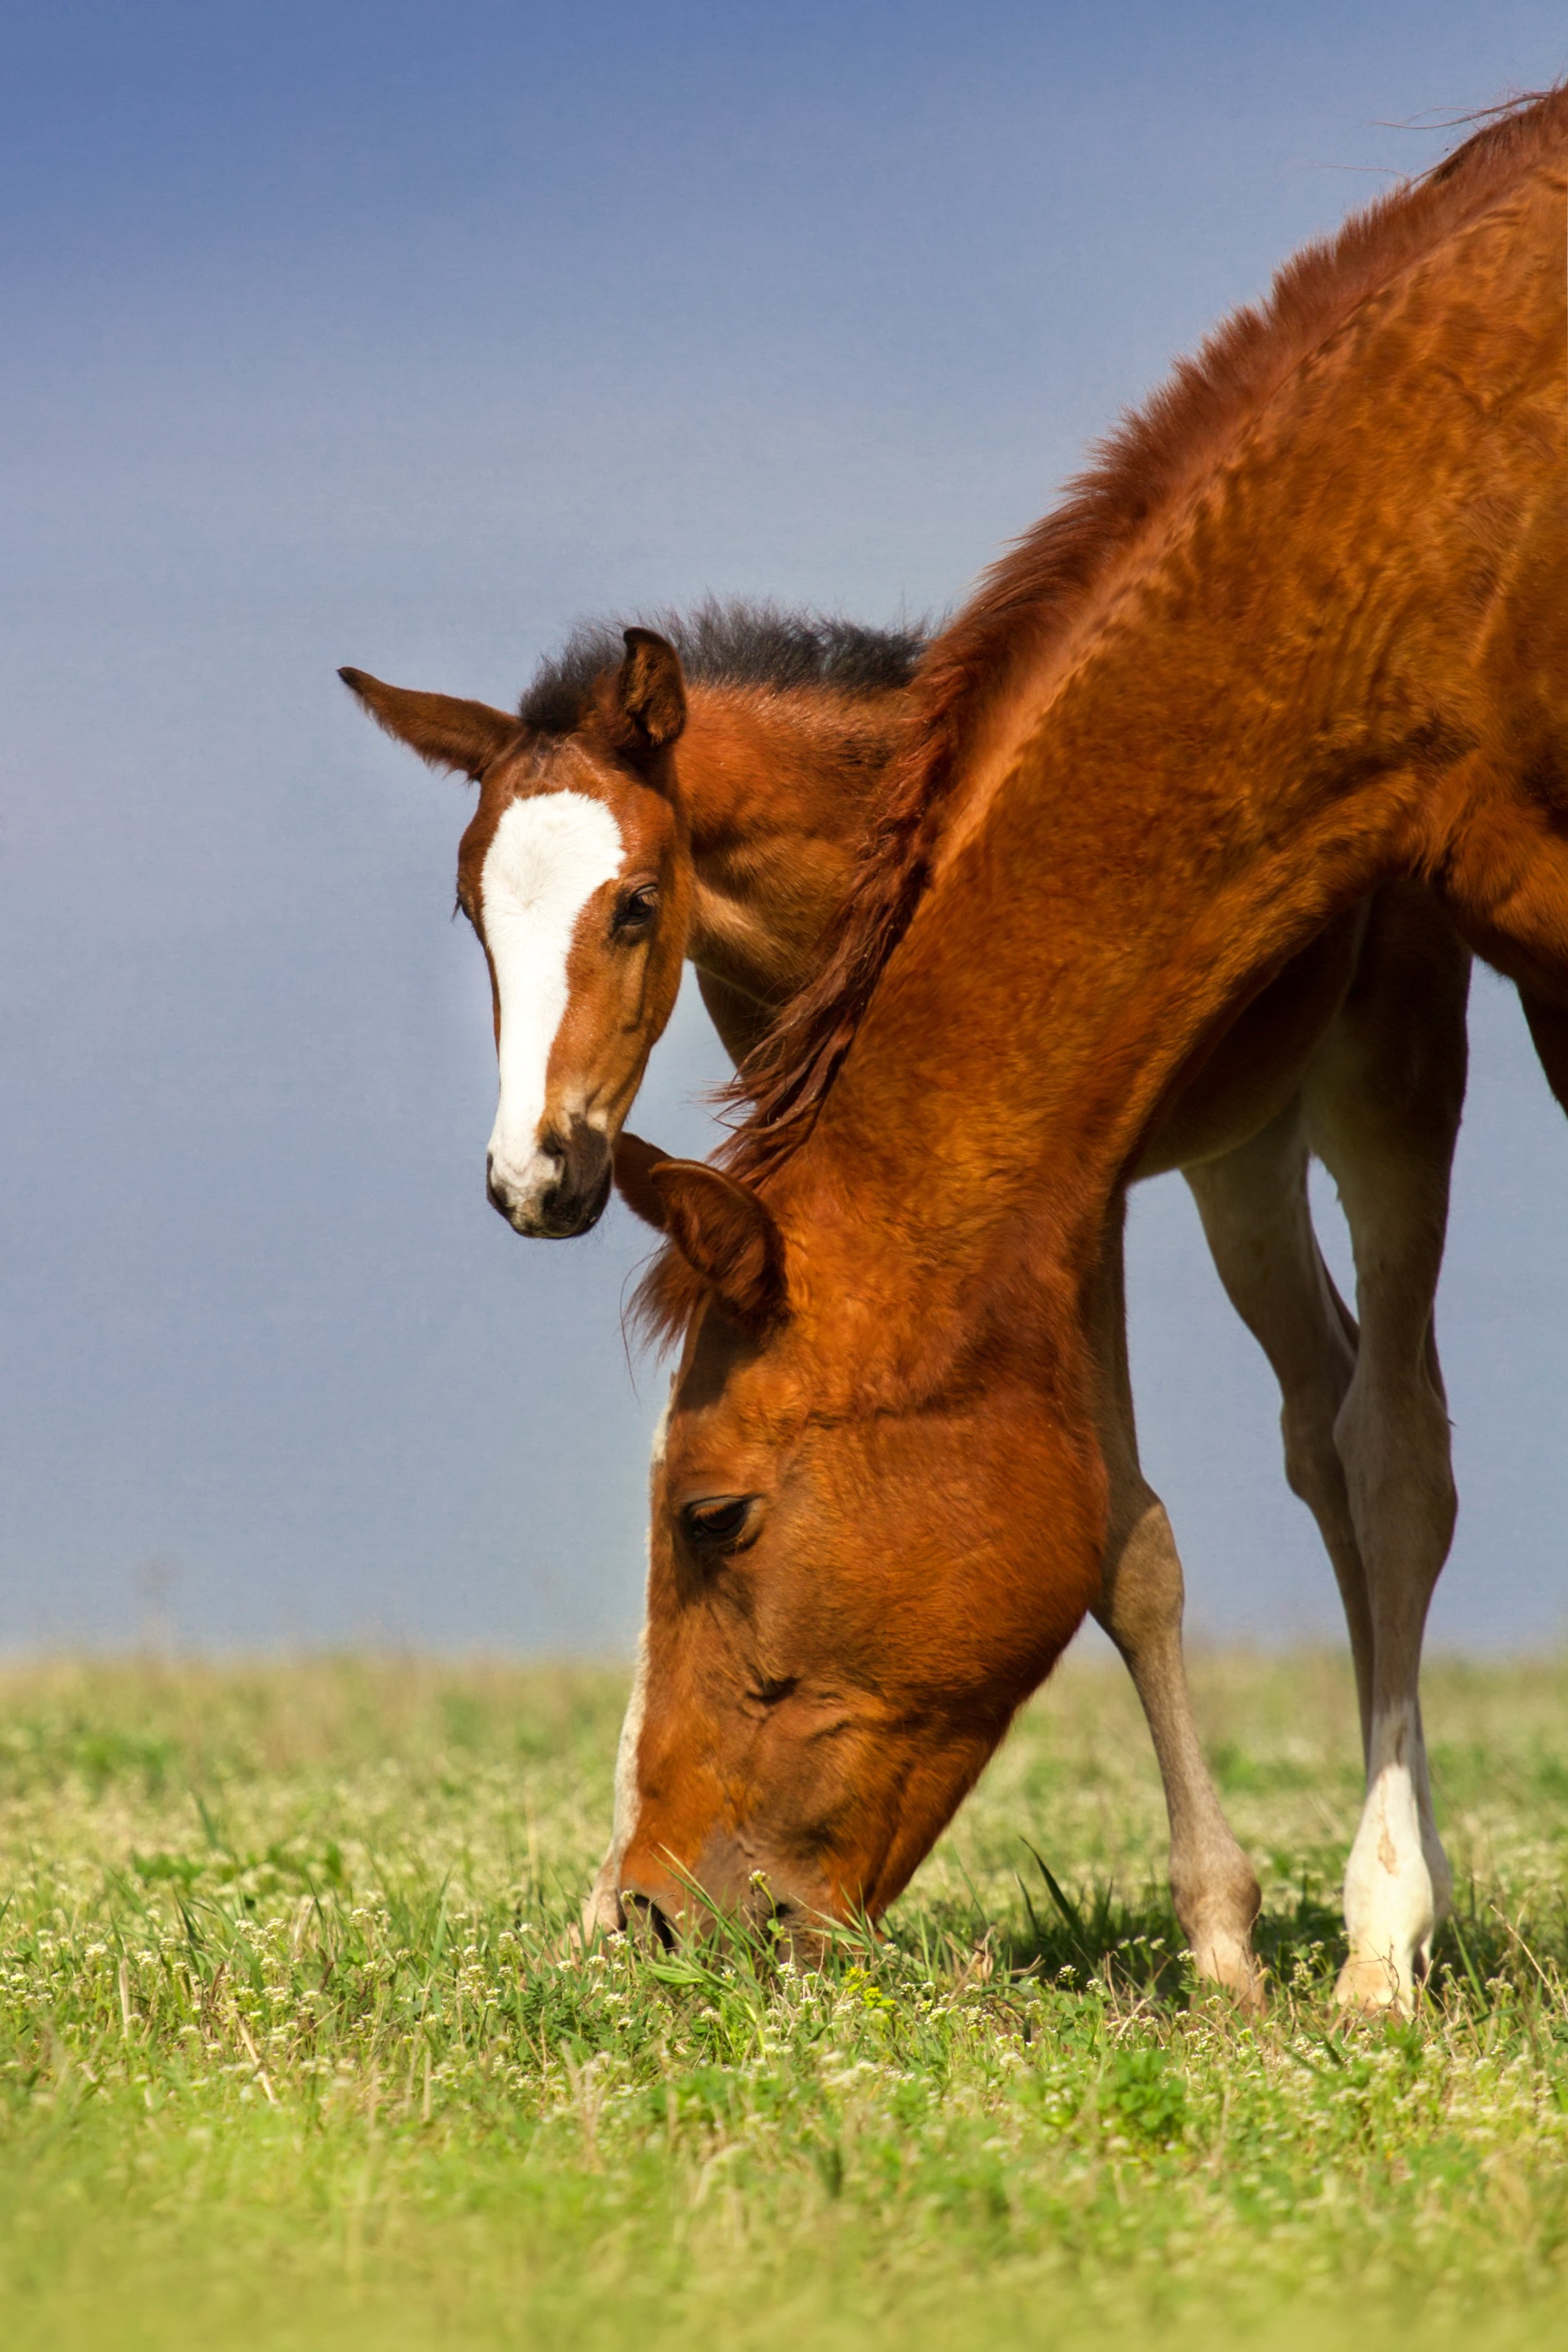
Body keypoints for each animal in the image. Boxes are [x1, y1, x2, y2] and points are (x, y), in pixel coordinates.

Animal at [343, 604, 1469, 2002]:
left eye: (635, 905)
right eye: (473, 910)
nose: (535, 1177)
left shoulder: (1057, 1183)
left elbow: (1133, 1549)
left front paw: (1218, 1937)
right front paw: (609, 1903)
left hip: (1385, 1069)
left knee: (1391, 1450)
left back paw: (1389, 1920)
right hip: (1244, 1148)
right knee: (1323, 1429)